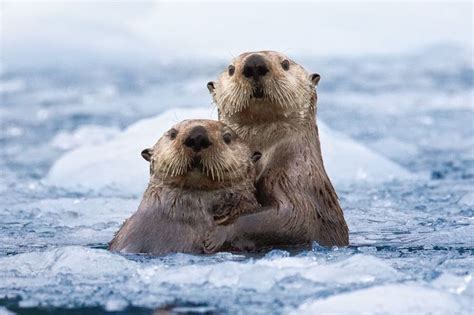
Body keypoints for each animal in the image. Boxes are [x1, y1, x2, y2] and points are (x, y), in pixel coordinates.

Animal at [206, 50, 350, 252]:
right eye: (231, 69)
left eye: (285, 63)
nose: (254, 64)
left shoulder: (294, 175)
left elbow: (292, 218)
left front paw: (217, 234)